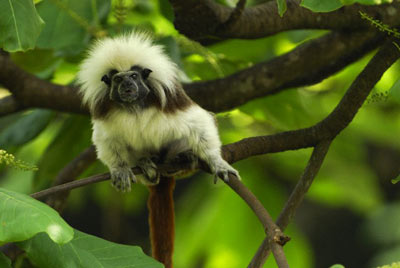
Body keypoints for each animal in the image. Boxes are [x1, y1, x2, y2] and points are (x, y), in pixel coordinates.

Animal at [77, 32, 241, 266]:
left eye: (134, 76)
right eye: (118, 79)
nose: (127, 84)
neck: (134, 106)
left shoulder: (172, 101)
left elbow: (199, 122)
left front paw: (217, 162)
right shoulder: (105, 112)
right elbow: (106, 141)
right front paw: (120, 169)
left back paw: (182, 159)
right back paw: (147, 164)